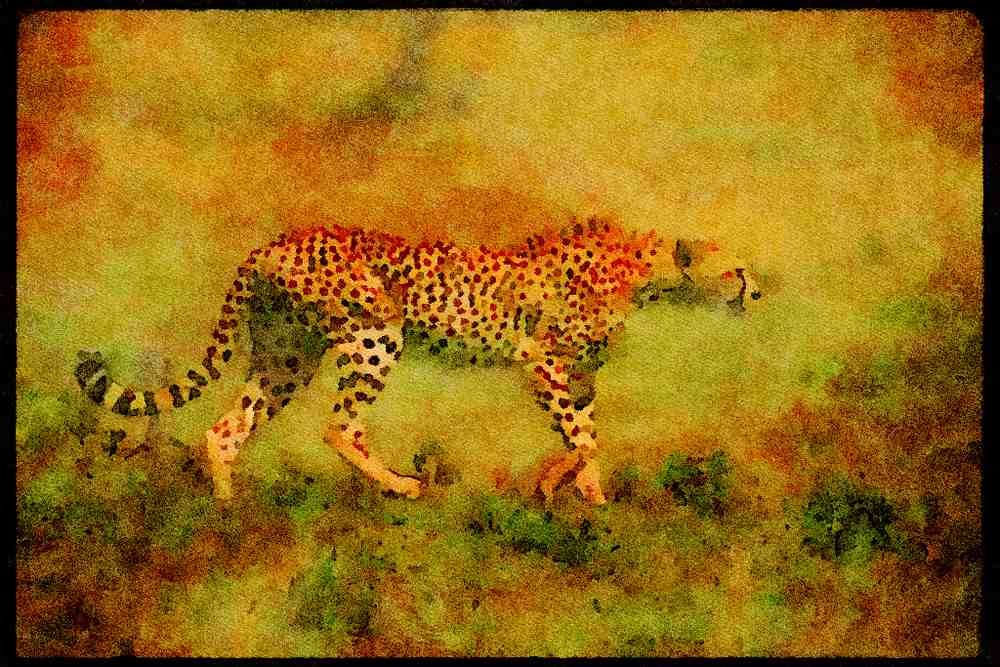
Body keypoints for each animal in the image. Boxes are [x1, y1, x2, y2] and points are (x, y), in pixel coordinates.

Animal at [75, 217, 762, 505]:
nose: (756, 292)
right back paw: (402, 485)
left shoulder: (579, 375)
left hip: (287, 357)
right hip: (375, 333)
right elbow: (584, 436)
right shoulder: (541, 358)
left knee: (224, 427)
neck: (643, 270)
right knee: (339, 426)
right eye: (735, 269)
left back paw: (226, 505)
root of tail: (276, 240)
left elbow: (582, 431)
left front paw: (580, 493)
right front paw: (562, 485)